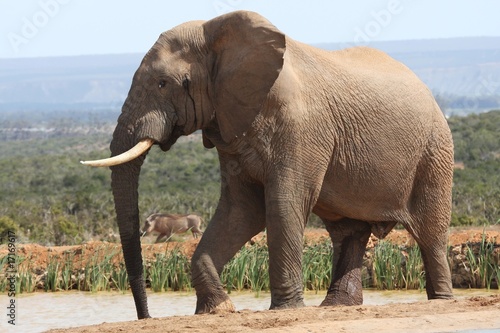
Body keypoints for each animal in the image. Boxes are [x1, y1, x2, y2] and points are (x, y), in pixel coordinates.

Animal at [81, 9, 454, 316]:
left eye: (162, 83)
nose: (146, 317)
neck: (216, 33)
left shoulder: (301, 128)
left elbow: (283, 203)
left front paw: (285, 309)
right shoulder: (230, 124)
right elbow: (241, 209)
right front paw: (219, 308)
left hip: (434, 151)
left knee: (430, 232)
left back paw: (441, 300)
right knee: (349, 232)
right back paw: (336, 306)